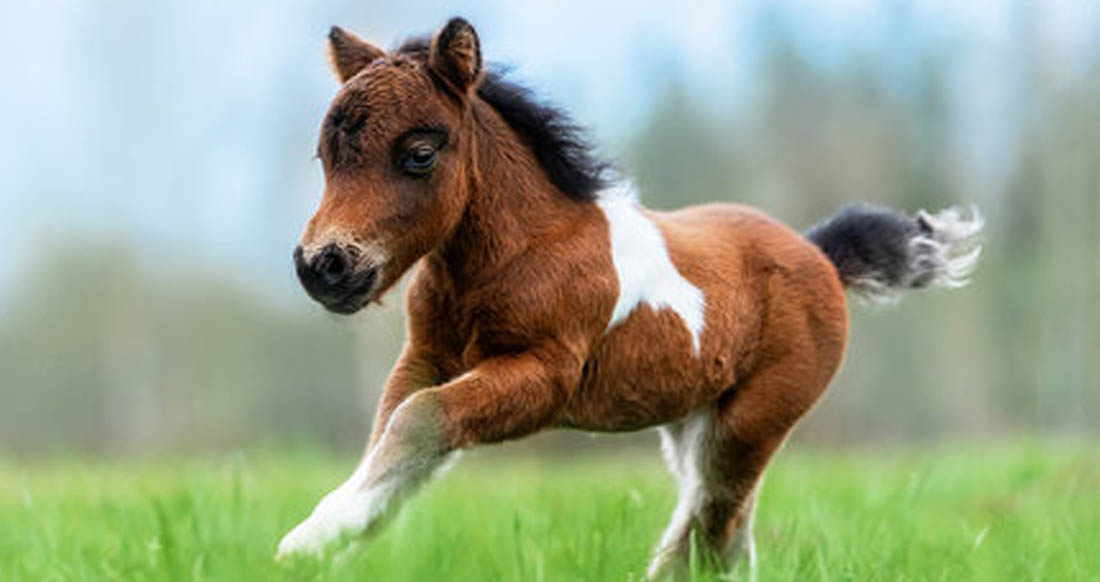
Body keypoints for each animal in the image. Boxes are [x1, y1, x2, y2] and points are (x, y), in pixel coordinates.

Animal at [279, 17, 985, 576]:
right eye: (324, 154)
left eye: (419, 154)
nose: (323, 266)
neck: (515, 255)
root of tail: (820, 256)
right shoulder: (426, 359)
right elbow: (397, 434)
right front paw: (341, 537)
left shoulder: (545, 376)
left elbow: (419, 420)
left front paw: (312, 537)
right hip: (694, 426)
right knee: (728, 534)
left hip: (753, 421)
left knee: (710, 529)